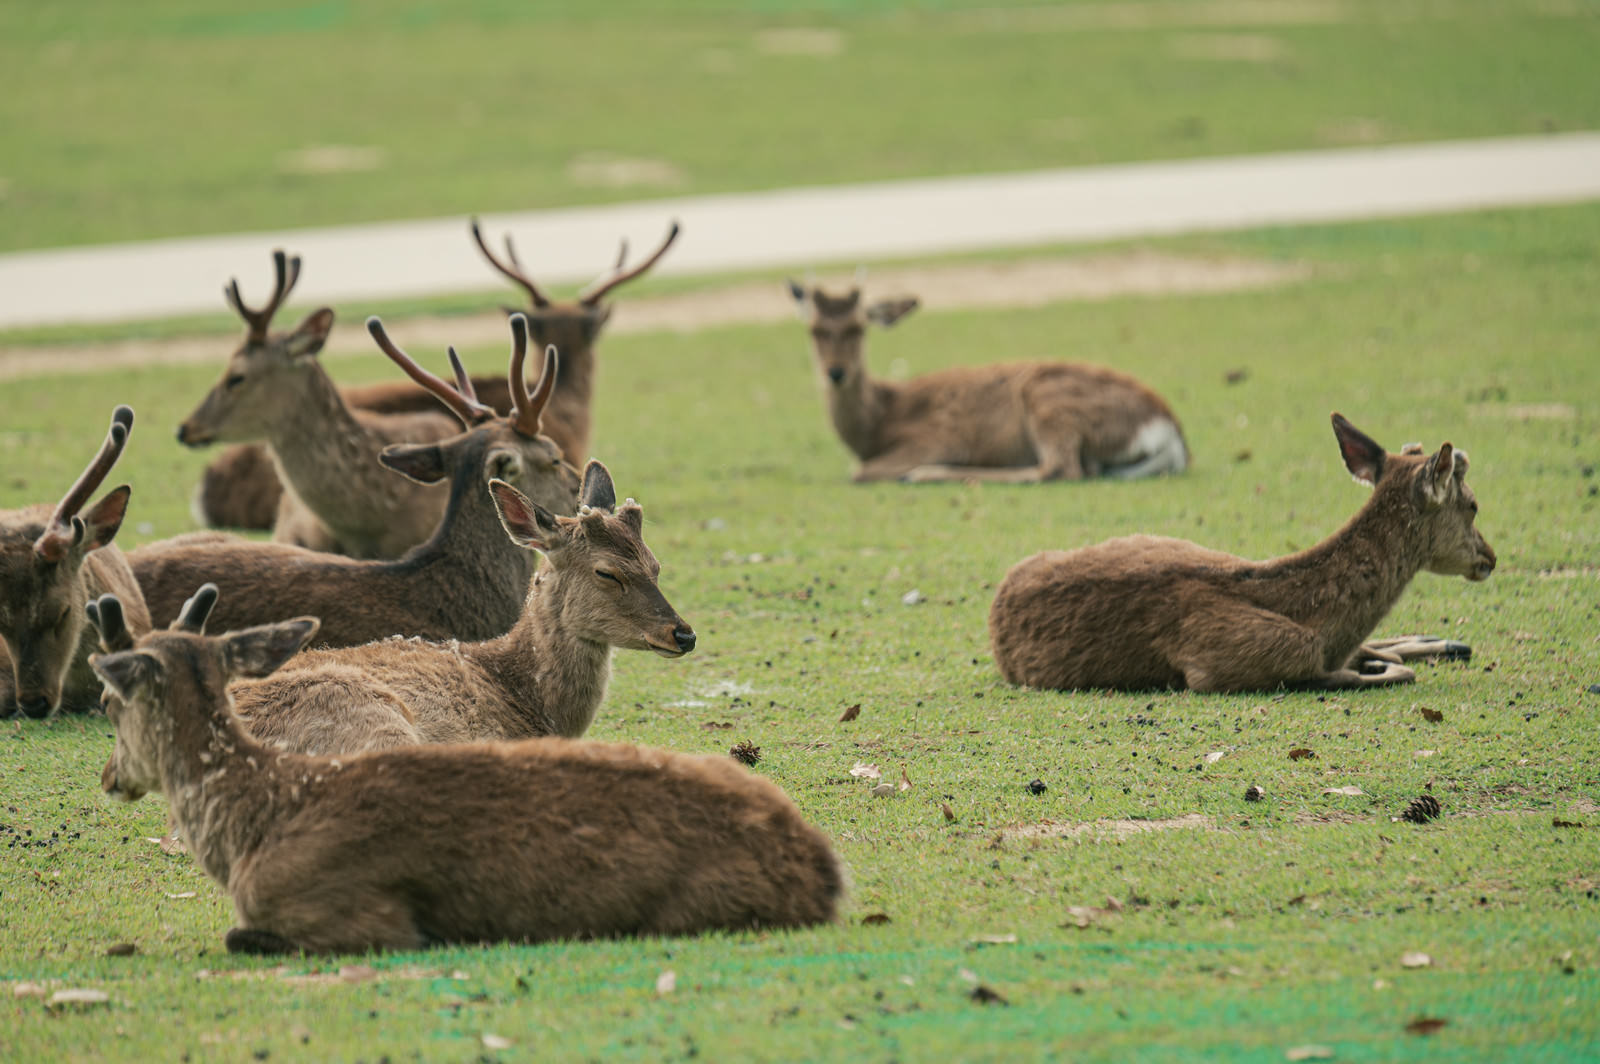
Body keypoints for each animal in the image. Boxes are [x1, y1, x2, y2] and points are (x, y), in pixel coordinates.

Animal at [786, 280, 1189, 483]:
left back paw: (924, 474)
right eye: (814, 329)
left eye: (858, 327)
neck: (878, 425)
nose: (836, 372)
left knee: (1060, 468)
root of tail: (1170, 431)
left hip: (1048, 400)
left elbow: (858, 472)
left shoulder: (936, 437)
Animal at [988, 413, 1494, 693]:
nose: (1489, 557)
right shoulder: (1217, 666)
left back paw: (1443, 642)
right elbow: (1369, 672)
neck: (1318, 621)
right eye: (1472, 504)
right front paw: (1377, 665)